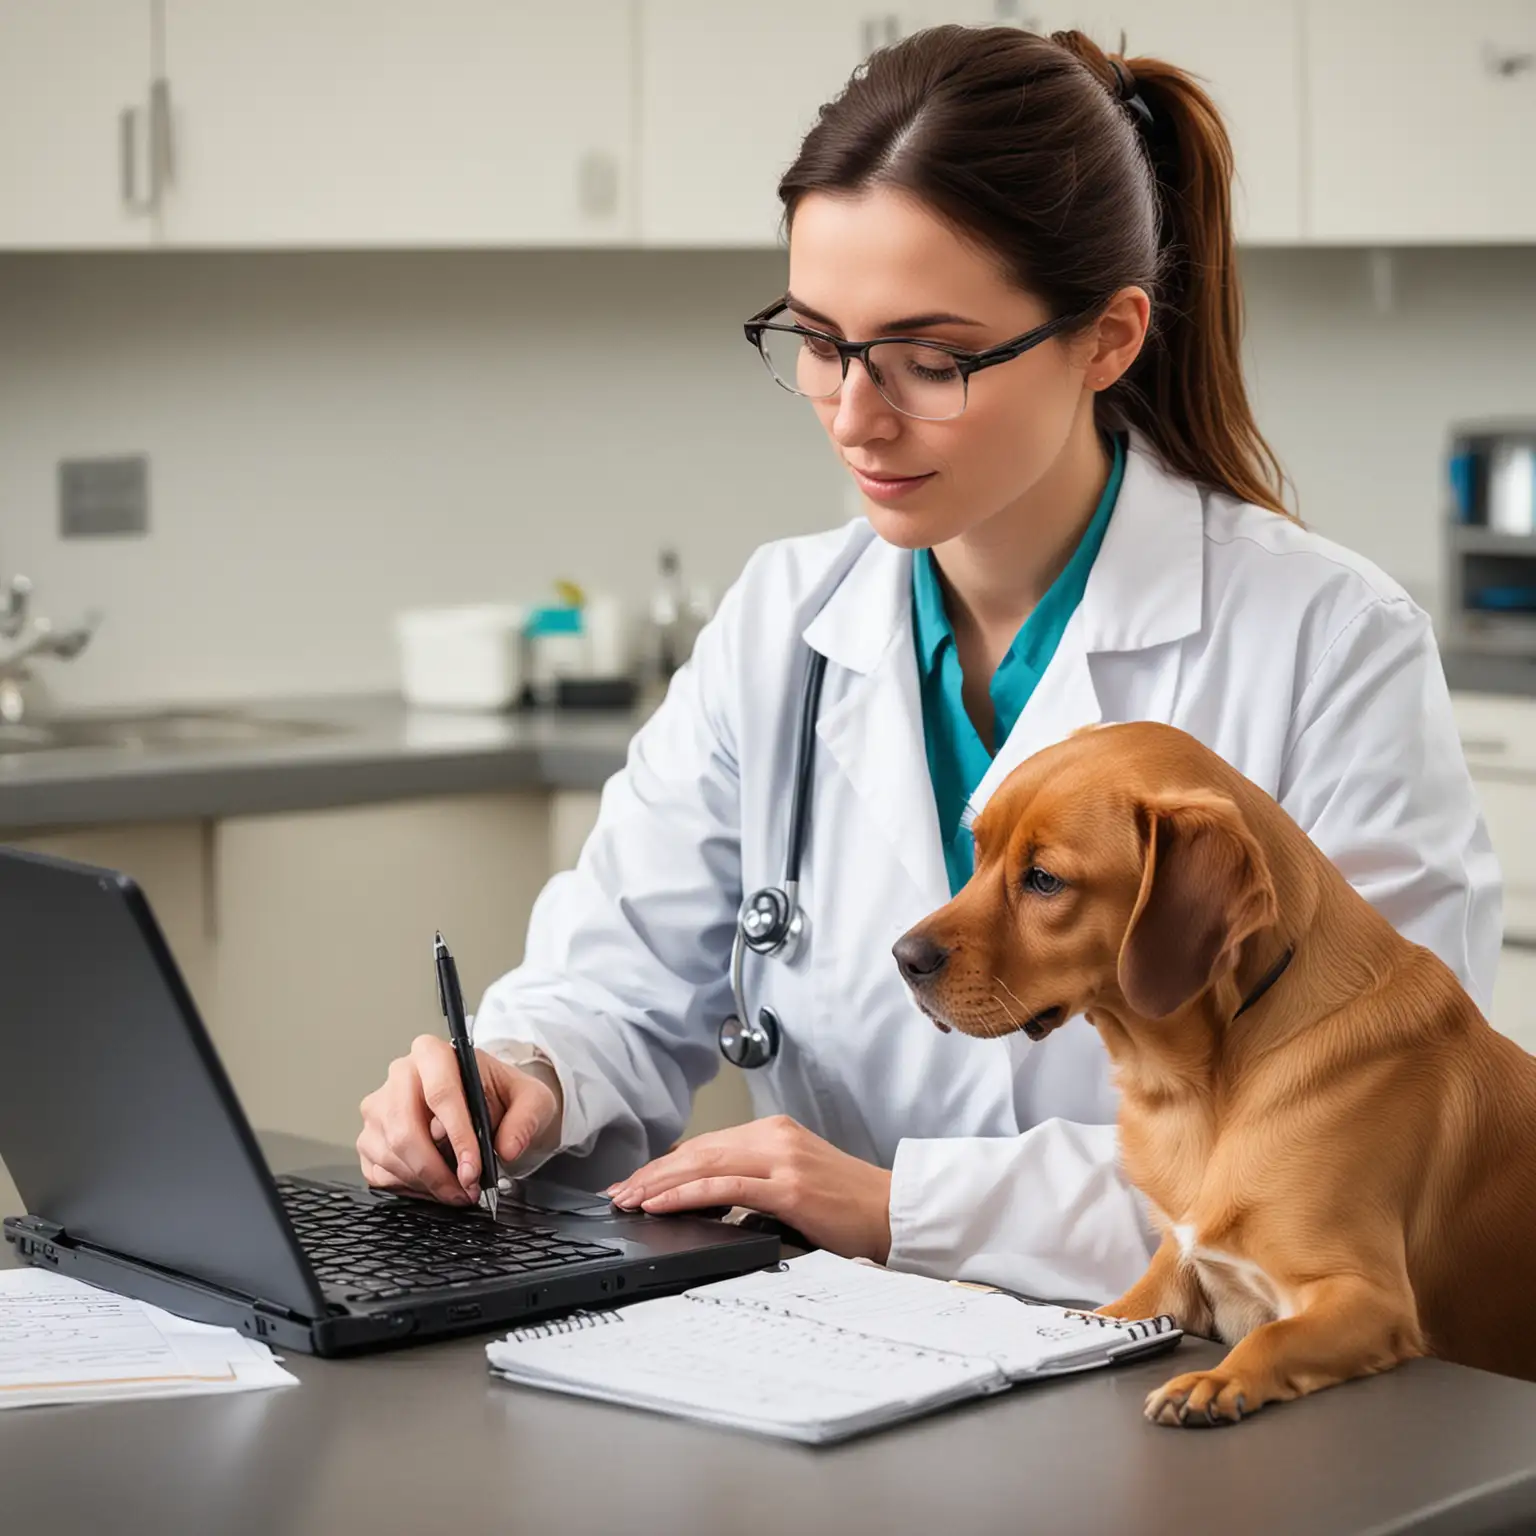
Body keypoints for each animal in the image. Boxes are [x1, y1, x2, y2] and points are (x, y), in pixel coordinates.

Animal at [897, 718, 1536, 1425]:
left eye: (1043, 879)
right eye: (977, 852)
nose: (903, 957)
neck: (1197, 1090)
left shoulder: (1368, 1294)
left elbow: (1273, 1335)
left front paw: (1216, 1378)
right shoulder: (1177, 1273)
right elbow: (1109, 1313)